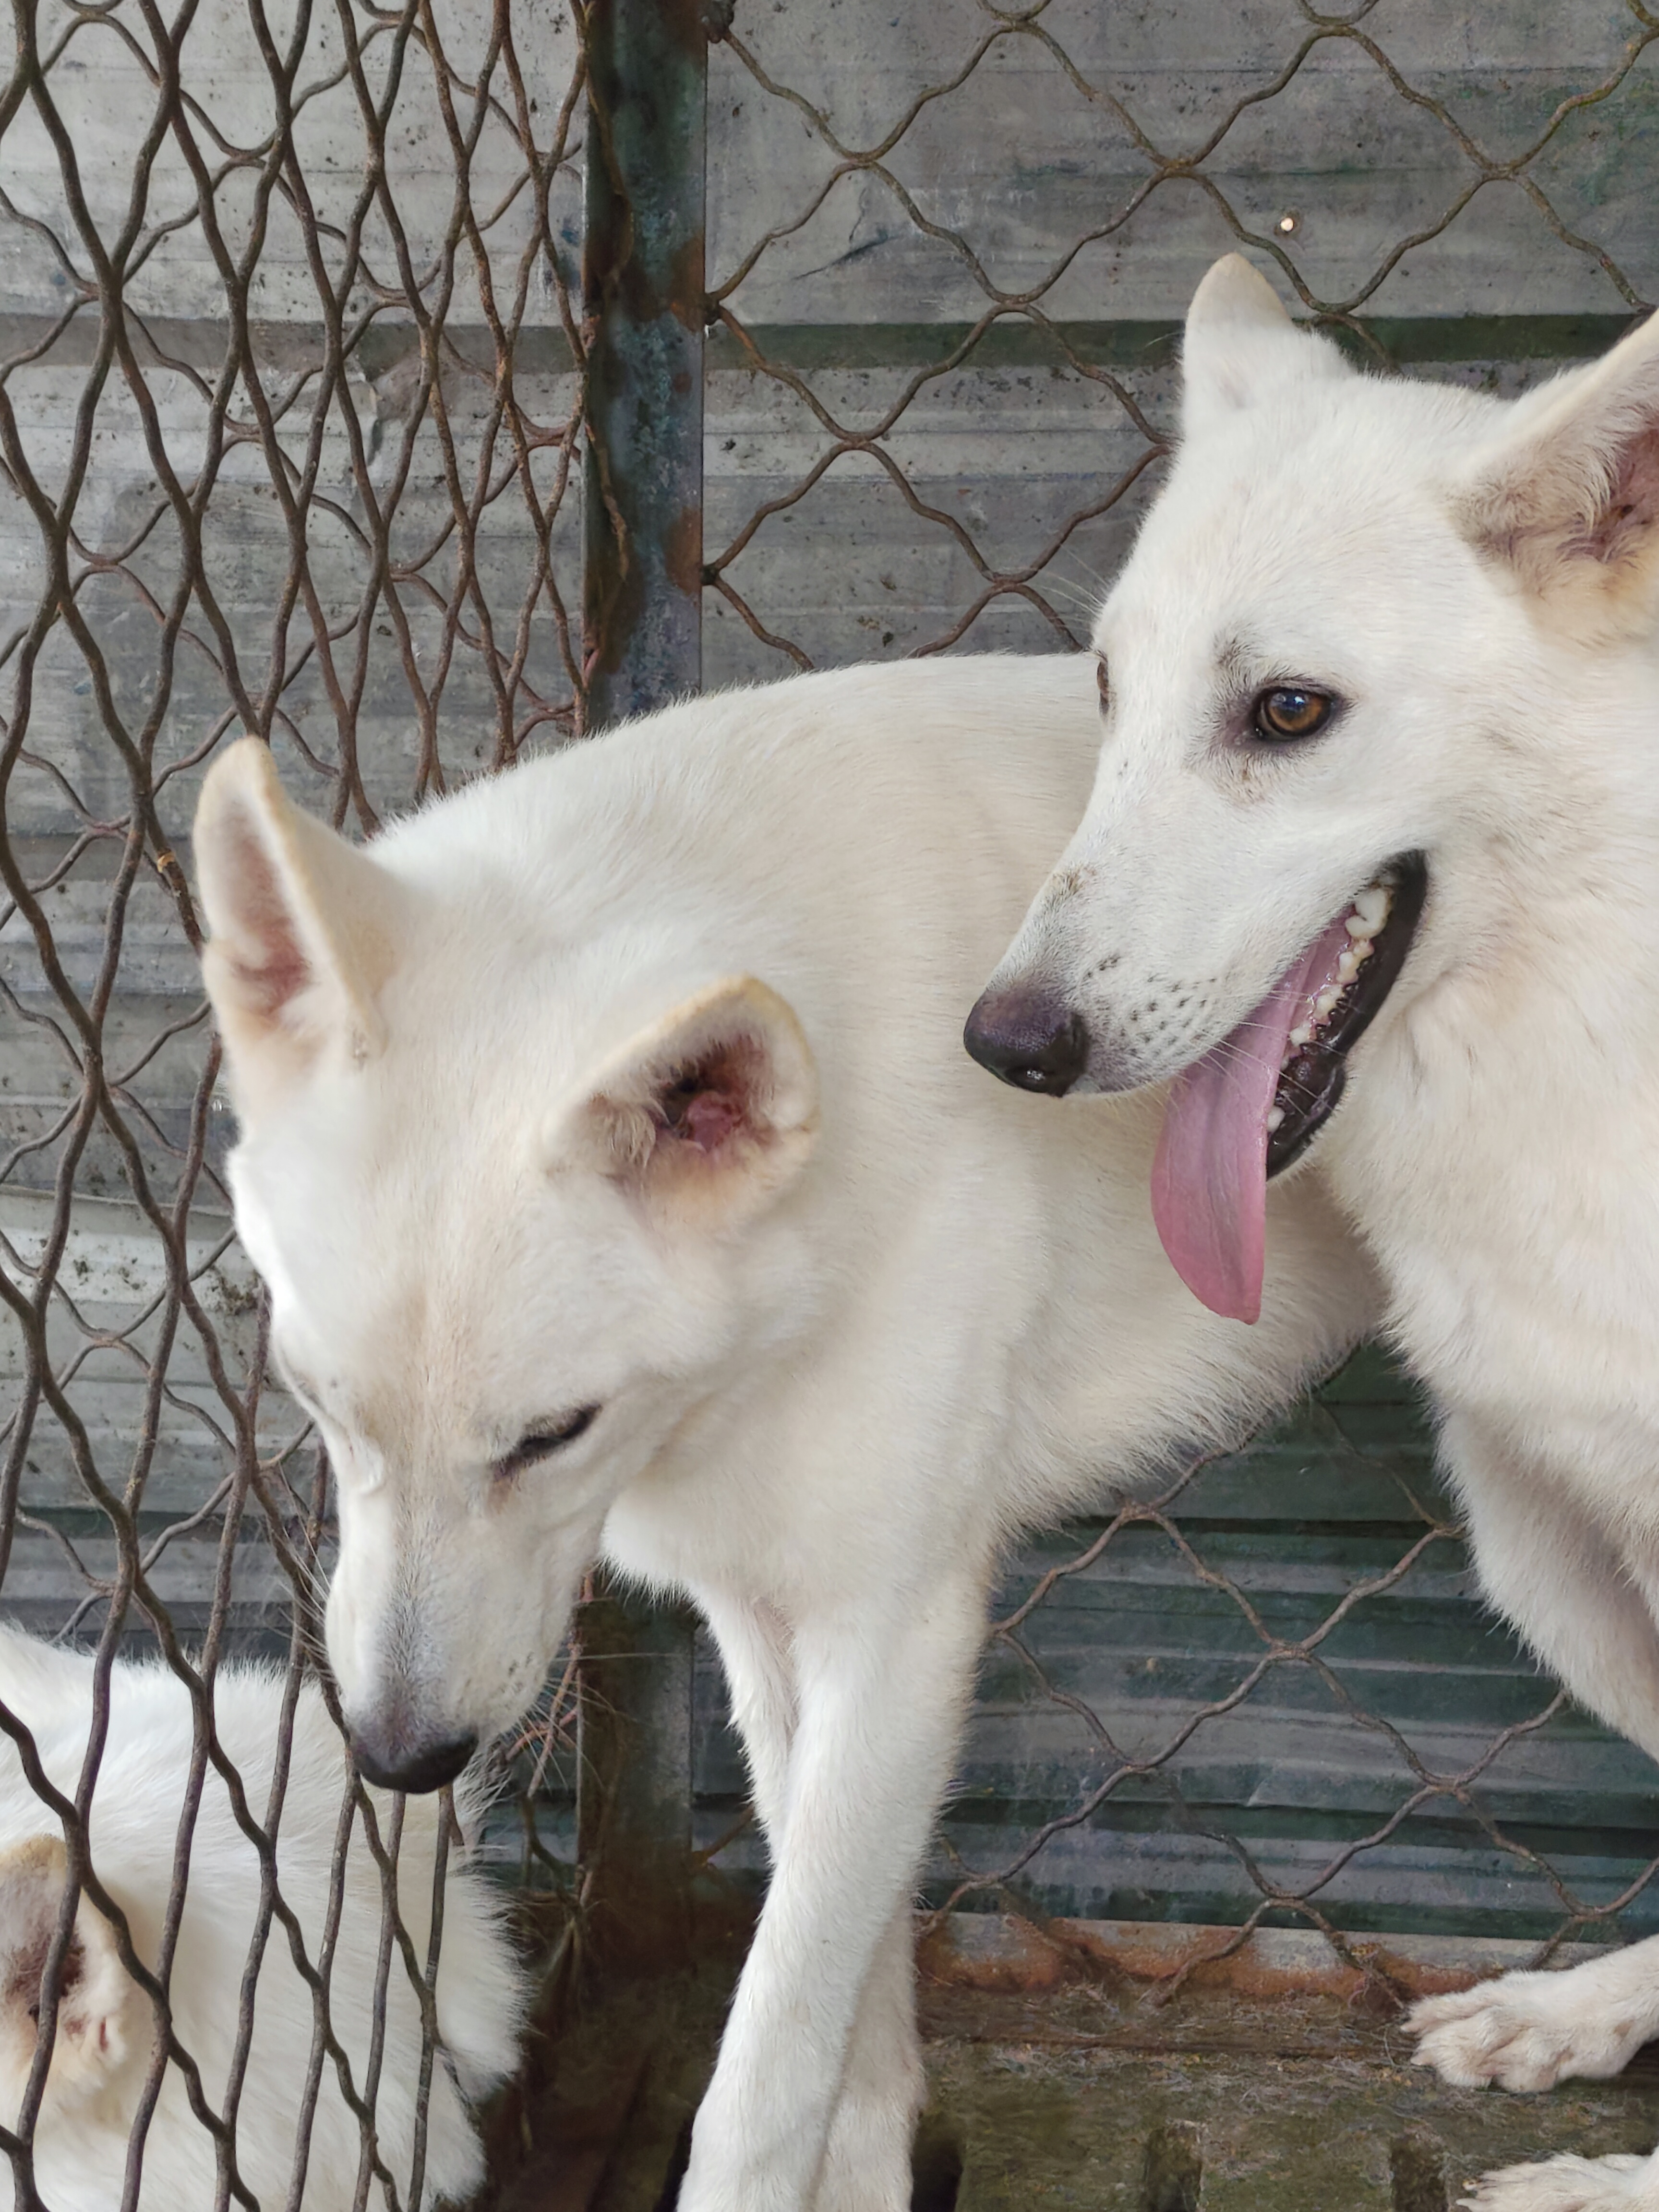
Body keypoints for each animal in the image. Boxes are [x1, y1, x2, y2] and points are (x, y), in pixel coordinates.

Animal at [191, 650, 1380, 2212]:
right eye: (318, 1400)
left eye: (551, 1434)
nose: (399, 1758)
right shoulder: (768, 1622)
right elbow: (850, 2014)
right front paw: (872, 2159)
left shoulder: (900, 1630)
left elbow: (767, 2073)